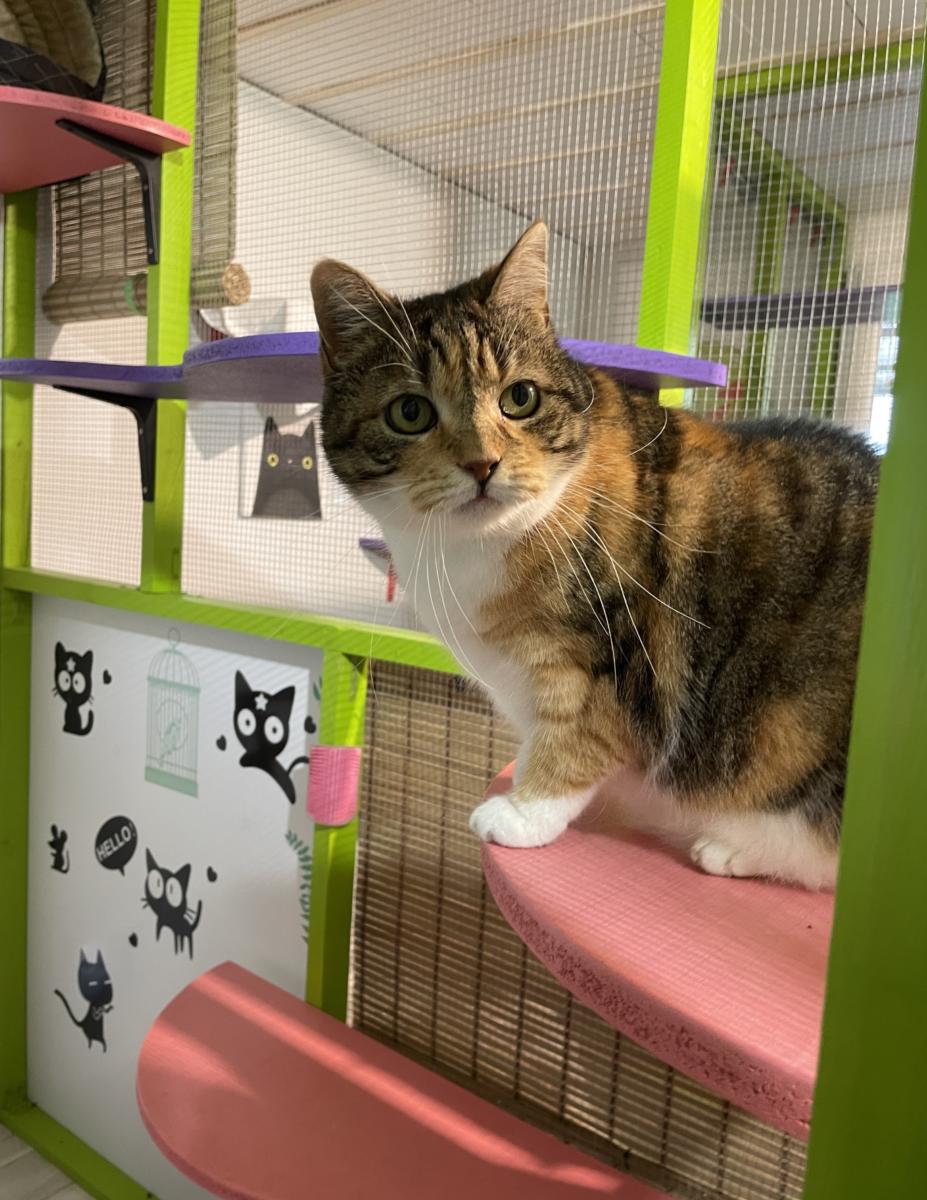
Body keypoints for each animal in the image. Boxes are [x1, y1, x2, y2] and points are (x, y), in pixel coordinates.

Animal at [310, 221, 879, 890]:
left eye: (520, 398)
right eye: (409, 411)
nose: (482, 464)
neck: (471, 551)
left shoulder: (610, 655)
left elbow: (575, 736)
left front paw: (521, 812)